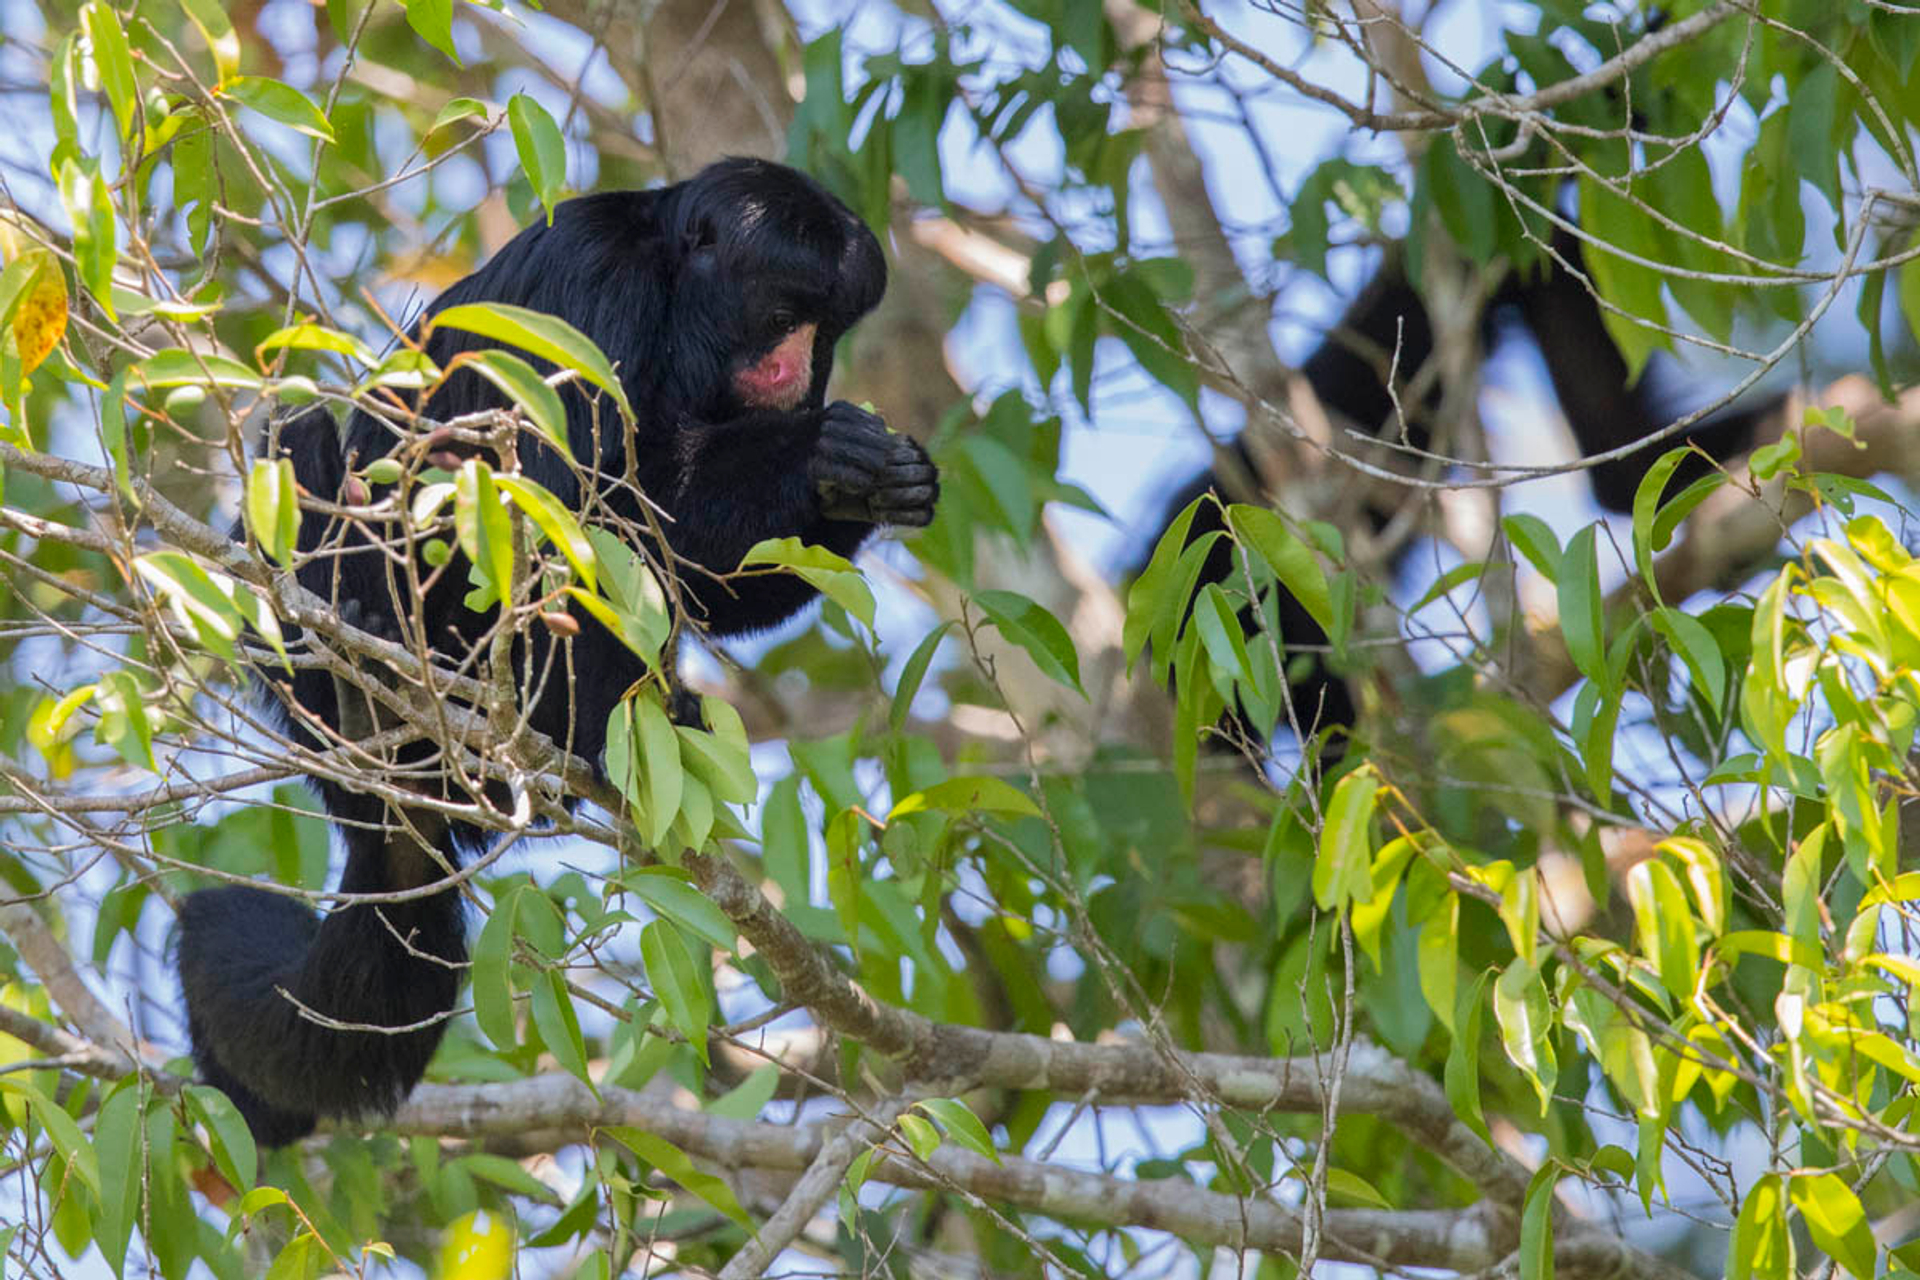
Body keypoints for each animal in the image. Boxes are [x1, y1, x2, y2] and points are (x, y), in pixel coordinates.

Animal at [176, 155, 940, 1143]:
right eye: (782, 315)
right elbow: (567, 517)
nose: (798, 368)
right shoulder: (594, 288)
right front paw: (823, 455)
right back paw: (404, 697)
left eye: (829, 330)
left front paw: (878, 480)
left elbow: (694, 582)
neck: (672, 296)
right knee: (302, 444)